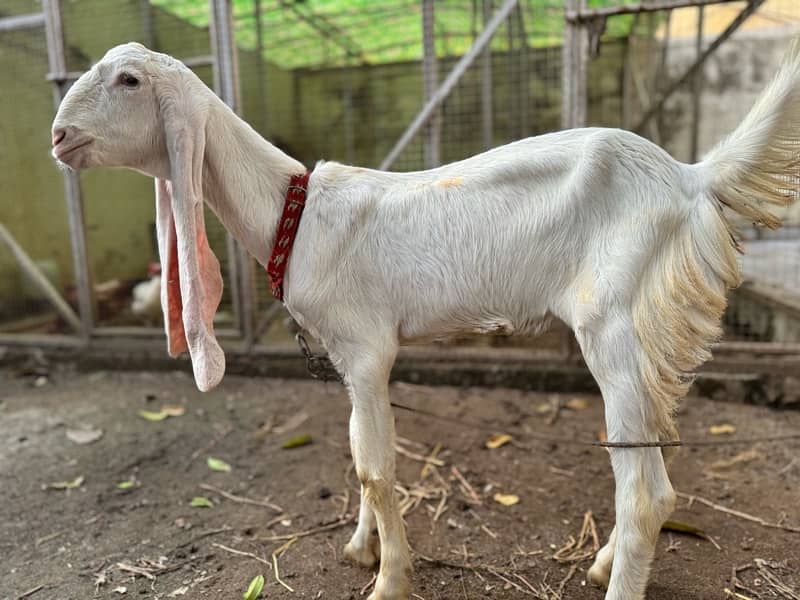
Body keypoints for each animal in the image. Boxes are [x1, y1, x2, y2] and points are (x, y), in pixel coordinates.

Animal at [53, 42, 796, 600]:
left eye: (128, 80)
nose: (59, 136)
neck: (295, 214)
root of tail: (690, 178)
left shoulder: (366, 349)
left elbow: (377, 468)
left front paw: (390, 580)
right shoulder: (347, 360)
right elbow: (356, 450)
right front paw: (360, 547)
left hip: (615, 320)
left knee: (644, 493)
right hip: (649, 332)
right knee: (654, 463)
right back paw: (606, 561)